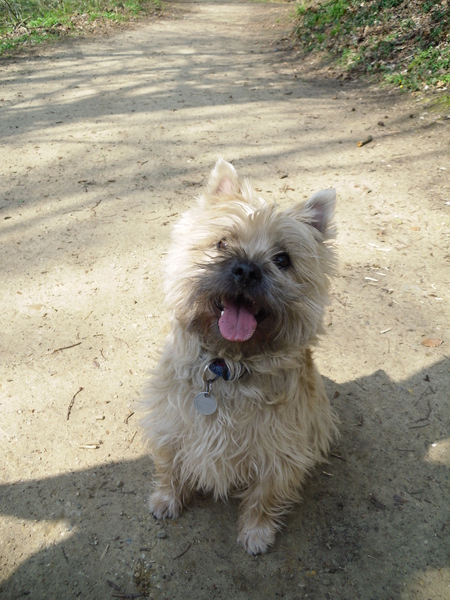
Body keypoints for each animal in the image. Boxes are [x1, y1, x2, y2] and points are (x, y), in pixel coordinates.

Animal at [142, 158, 338, 552]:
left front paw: (257, 532)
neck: (226, 365)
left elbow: (265, 495)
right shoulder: (171, 426)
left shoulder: (279, 453)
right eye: (221, 243)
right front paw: (167, 500)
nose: (247, 269)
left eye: (283, 259)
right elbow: (170, 464)